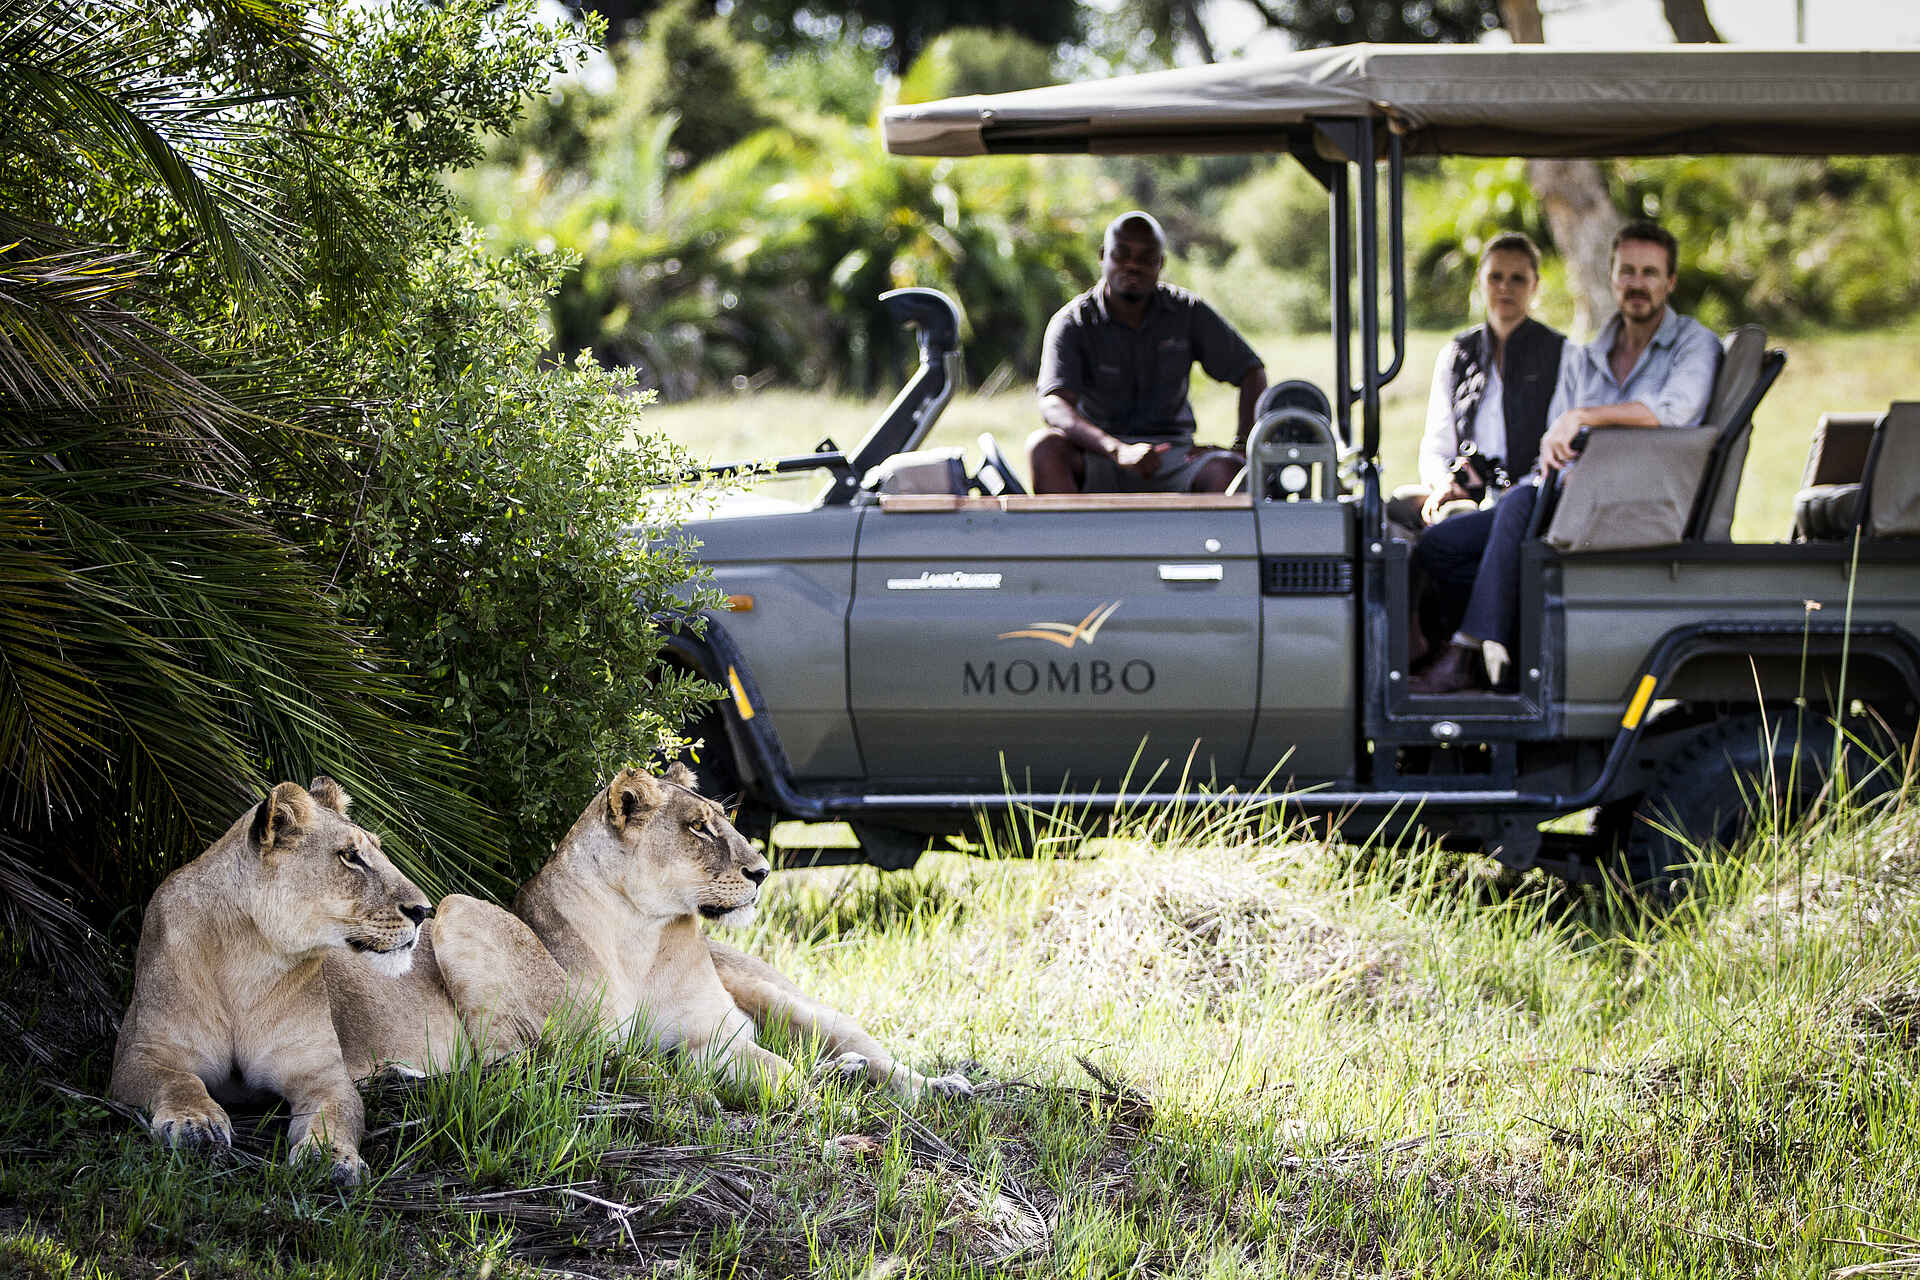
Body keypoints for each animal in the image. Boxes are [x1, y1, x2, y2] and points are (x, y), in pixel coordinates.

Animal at [109, 778, 431, 1184]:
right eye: (350, 856)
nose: (424, 911)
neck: (248, 957)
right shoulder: (139, 1054)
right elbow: (178, 1081)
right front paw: (195, 1122)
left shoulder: (323, 1075)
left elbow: (338, 1113)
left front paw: (331, 1156)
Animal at [512, 764, 972, 1102]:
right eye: (698, 827)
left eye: (723, 819)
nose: (763, 872)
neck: (640, 931)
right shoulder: (592, 1045)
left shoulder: (722, 1032)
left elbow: (780, 1068)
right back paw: (845, 1074)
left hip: (790, 1001)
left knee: (883, 1062)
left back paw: (941, 1086)